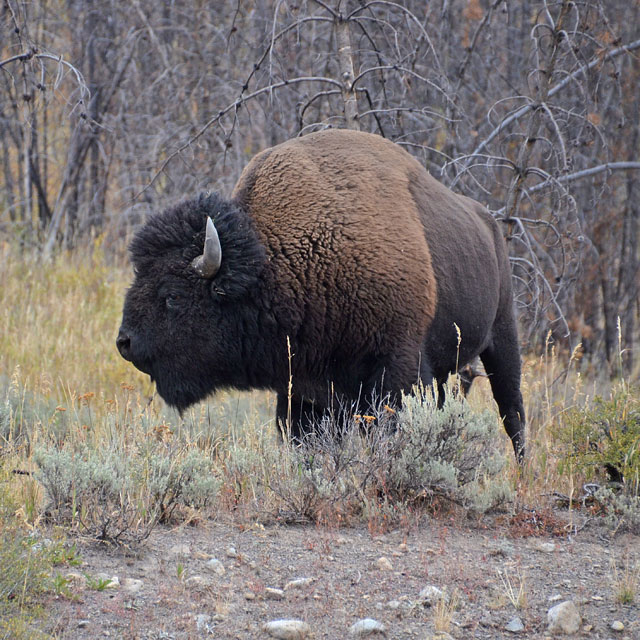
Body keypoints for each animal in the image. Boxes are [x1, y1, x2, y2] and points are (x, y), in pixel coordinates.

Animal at [119, 130, 524, 460]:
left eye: (172, 296)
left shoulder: (398, 369)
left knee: (513, 413)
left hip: (502, 338)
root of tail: (489, 224)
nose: (125, 342)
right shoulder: (304, 391)